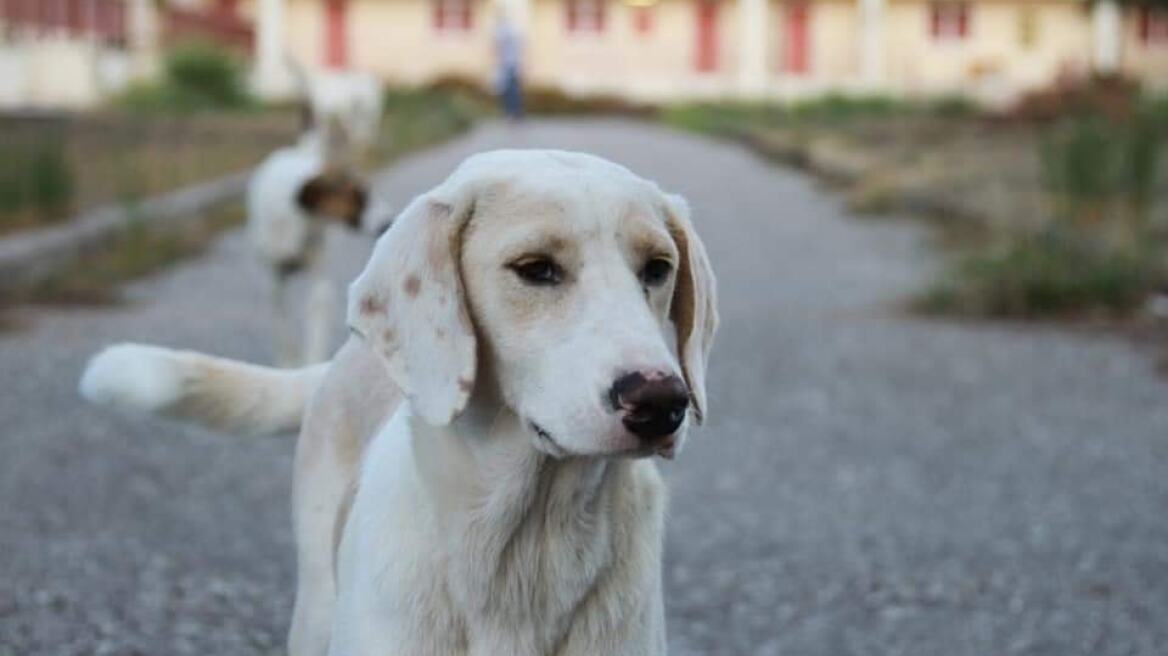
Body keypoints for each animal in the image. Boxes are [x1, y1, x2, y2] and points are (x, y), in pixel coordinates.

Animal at [80, 149, 710, 653]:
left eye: (658, 269)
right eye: (535, 269)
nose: (662, 402)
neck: (524, 545)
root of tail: (342, 357)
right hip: (315, 605)